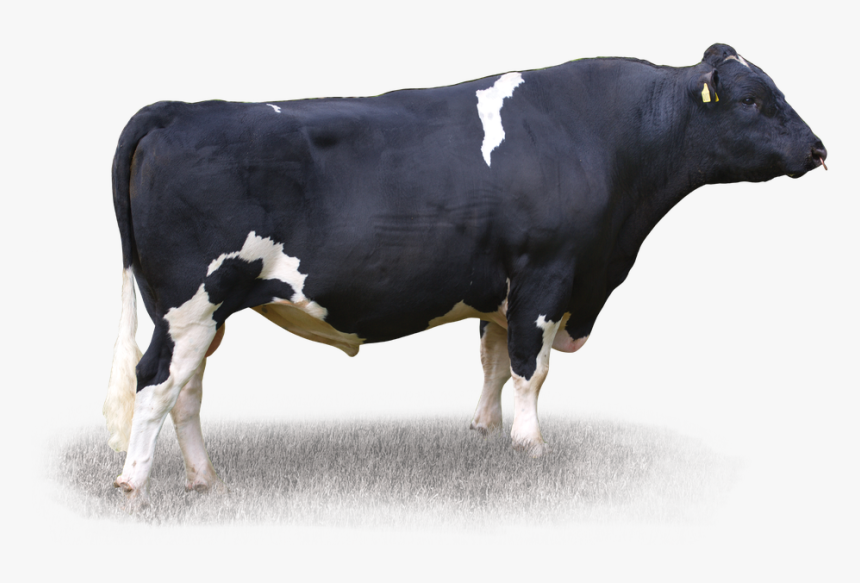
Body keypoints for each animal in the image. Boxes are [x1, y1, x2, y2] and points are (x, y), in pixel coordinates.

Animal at [104, 44, 826, 502]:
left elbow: (494, 361)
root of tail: (179, 108)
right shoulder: (547, 274)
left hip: (204, 312)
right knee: (155, 382)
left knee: (187, 391)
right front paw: (531, 449)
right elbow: (531, 368)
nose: (819, 149)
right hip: (193, 301)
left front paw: (484, 432)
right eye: (753, 100)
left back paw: (204, 479)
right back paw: (134, 484)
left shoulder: (499, 288)